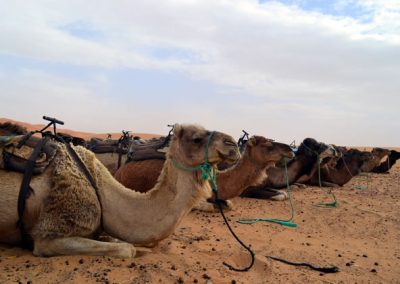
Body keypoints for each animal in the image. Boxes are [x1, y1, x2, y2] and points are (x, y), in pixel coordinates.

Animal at [0, 124, 239, 258]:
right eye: (196, 138)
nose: (233, 144)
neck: (102, 191)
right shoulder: (49, 235)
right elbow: (127, 249)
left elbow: (120, 242)